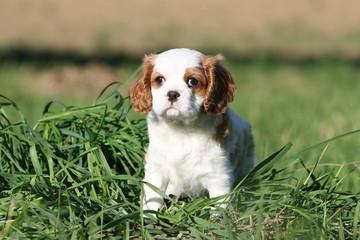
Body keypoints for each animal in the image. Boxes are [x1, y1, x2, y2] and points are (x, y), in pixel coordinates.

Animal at [131, 48, 255, 212]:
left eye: (192, 81)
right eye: (159, 80)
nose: (172, 94)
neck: (181, 128)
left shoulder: (219, 176)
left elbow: (219, 207)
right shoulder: (156, 169)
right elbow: (152, 199)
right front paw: (148, 217)